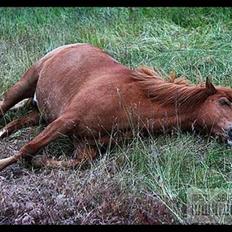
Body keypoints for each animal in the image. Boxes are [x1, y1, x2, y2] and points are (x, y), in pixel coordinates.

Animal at [0, 42, 232, 171]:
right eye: (224, 102)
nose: (231, 133)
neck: (129, 102)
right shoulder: (66, 120)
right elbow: (27, 148)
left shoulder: (86, 145)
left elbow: (79, 163)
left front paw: (40, 162)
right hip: (26, 83)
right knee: (4, 105)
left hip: (41, 112)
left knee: (17, 122)